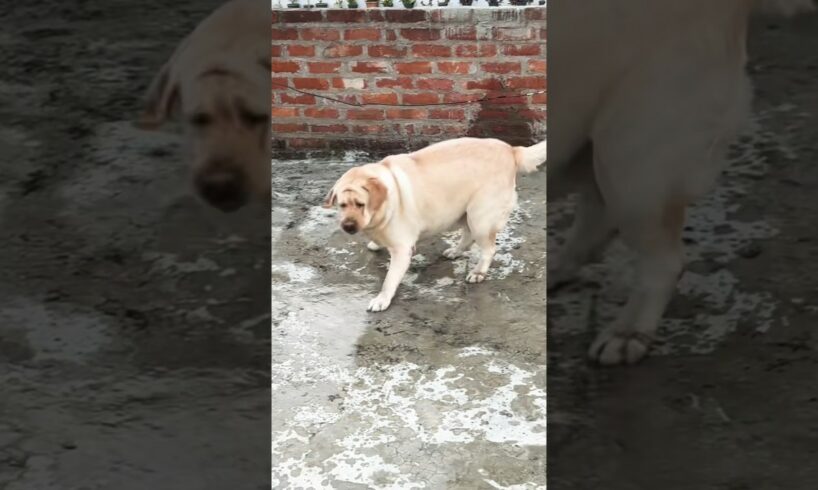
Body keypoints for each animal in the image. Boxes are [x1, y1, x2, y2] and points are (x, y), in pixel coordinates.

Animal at [322, 136, 544, 312]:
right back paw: (455, 251)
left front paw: (382, 299)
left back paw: (478, 272)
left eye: (360, 204)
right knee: (468, 235)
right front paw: (375, 244)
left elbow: (389, 280)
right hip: (466, 212)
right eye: (342, 205)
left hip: (480, 217)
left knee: (488, 249)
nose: (348, 226)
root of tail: (511, 150)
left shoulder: (402, 250)